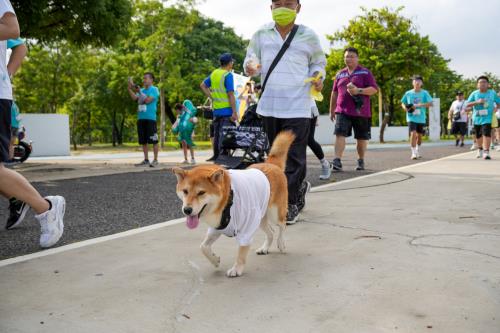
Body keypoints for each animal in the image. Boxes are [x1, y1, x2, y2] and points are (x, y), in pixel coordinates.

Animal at [174, 131, 294, 276]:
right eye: (185, 191)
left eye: (201, 193)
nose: (187, 210)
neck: (226, 201)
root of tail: (271, 164)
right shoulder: (217, 227)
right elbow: (203, 247)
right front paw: (215, 260)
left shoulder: (247, 227)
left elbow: (241, 251)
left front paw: (237, 269)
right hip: (260, 218)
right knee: (270, 232)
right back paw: (264, 248)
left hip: (274, 213)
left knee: (282, 225)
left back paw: (281, 243)